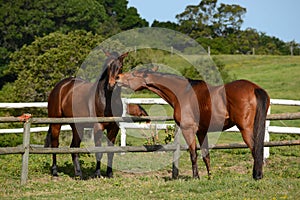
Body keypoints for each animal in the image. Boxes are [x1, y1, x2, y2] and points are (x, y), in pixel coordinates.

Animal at [116, 67, 270, 180]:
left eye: (134, 74)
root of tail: (255, 88)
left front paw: (196, 177)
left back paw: (257, 176)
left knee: (255, 149)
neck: (183, 93)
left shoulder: (188, 130)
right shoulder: (202, 132)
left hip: (245, 129)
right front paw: (209, 176)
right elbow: (206, 155)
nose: (117, 77)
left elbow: (193, 154)